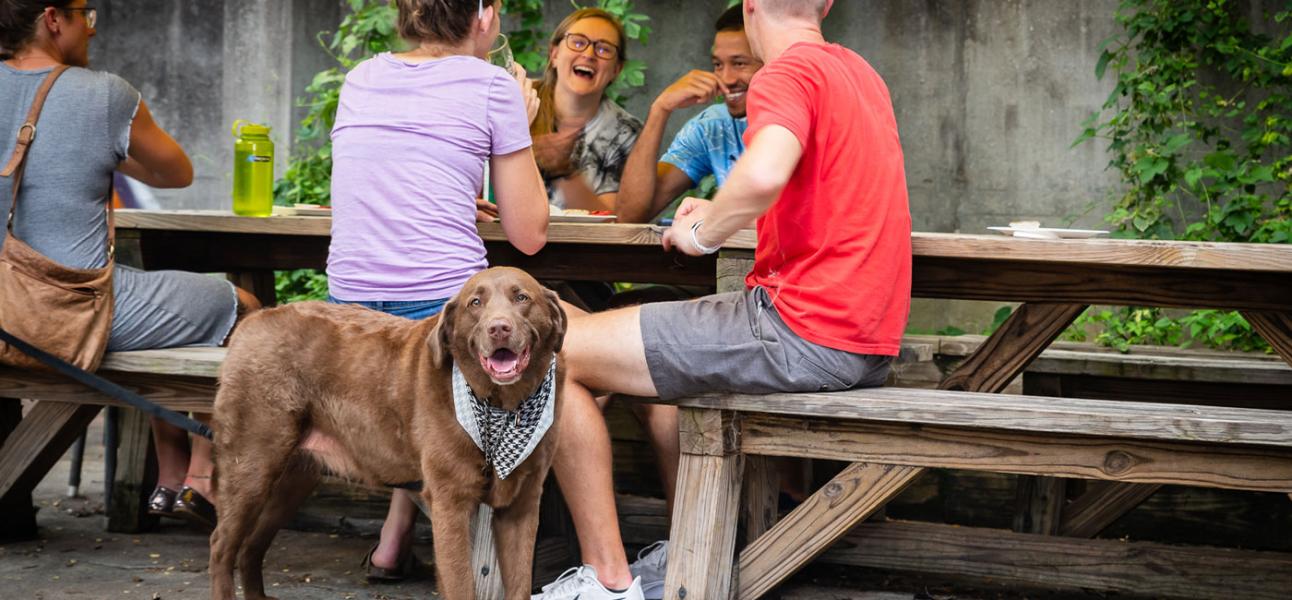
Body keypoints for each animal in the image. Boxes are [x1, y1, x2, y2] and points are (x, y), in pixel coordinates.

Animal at [208, 267, 567, 600]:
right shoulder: (450, 502)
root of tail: (253, 320)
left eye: (522, 298)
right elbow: (460, 585)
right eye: (475, 303)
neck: (502, 406)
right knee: (222, 546)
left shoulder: (521, 506)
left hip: (294, 477)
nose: (499, 328)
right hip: (251, 465)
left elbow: (520, 584)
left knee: (251, 546)